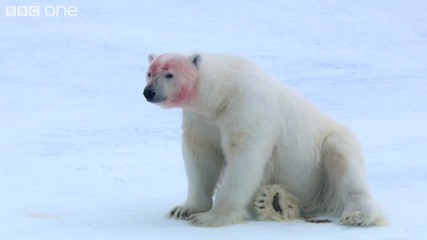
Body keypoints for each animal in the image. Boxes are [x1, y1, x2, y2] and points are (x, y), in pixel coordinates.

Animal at [144, 52, 388, 227]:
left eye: (169, 74)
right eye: (149, 72)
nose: (148, 92)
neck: (221, 93)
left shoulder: (246, 107)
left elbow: (244, 159)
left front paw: (211, 217)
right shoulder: (201, 120)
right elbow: (201, 157)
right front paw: (185, 209)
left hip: (322, 153)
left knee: (343, 162)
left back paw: (358, 215)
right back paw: (273, 201)